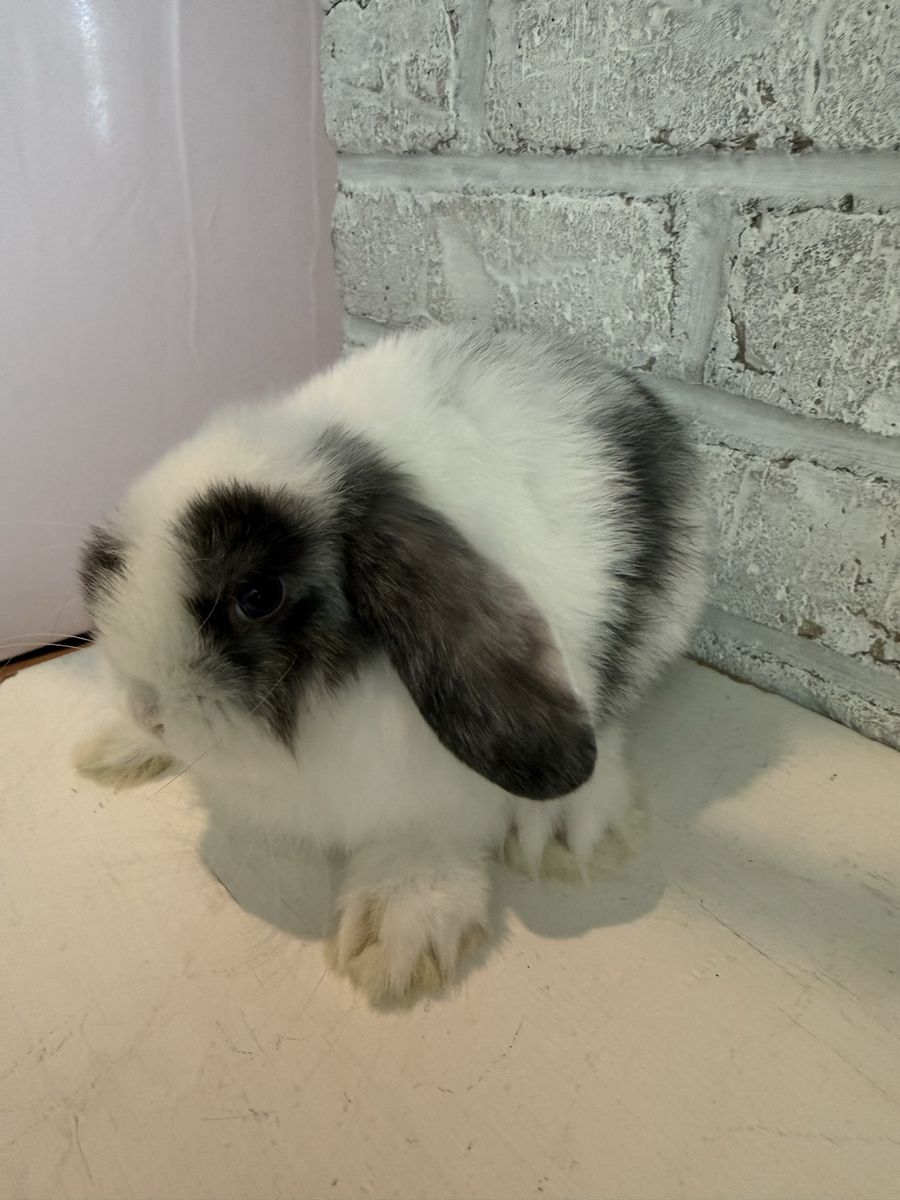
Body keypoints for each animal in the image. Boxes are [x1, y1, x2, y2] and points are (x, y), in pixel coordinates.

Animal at [74, 326, 707, 1005]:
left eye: (259, 596)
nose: (147, 708)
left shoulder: (436, 788)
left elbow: (423, 836)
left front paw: (399, 933)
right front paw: (124, 740)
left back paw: (563, 828)